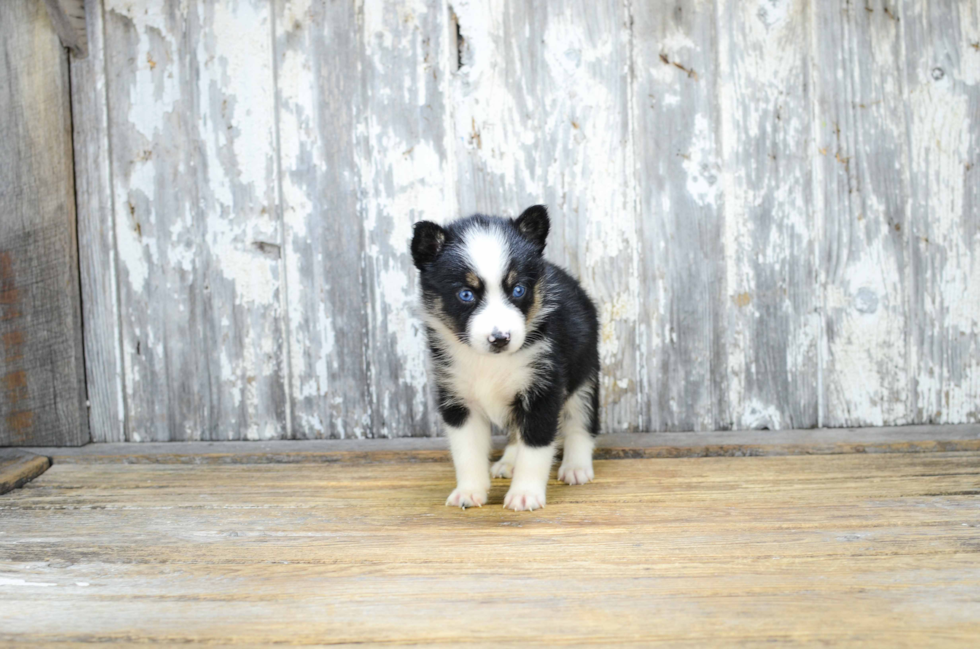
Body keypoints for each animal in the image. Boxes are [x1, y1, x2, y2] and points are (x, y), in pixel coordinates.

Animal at [408, 206, 596, 512]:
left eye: (518, 290)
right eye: (466, 294)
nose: (500, 338)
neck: (489, 361)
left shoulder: (543, 390)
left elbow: (535, 447)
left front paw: (525, 494)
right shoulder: (458, 399)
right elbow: (467, 451)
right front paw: (469, 491)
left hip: (585, 372)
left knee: (581, 420)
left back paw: (576, 467)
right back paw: (509, 462)